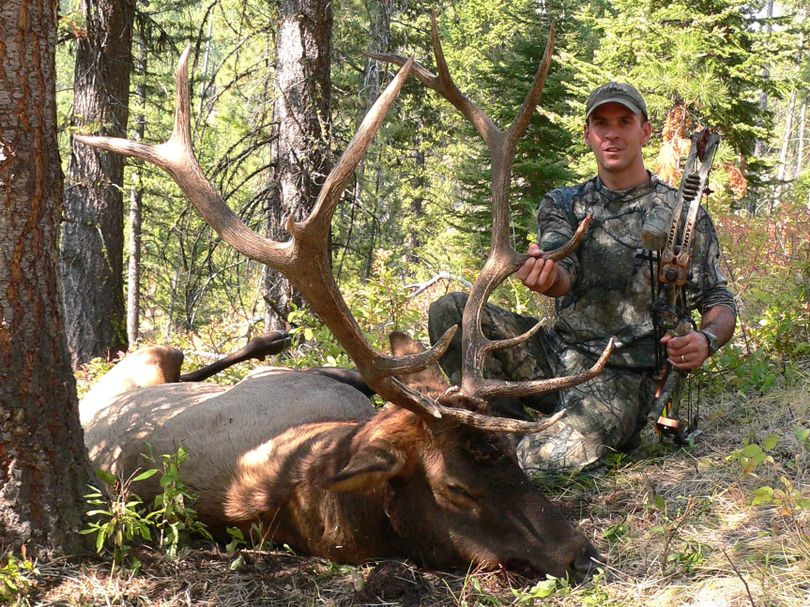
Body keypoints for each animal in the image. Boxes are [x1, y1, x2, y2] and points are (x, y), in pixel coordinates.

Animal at [80, 15, 612, 584]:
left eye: (512, 452)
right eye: (455, 487)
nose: (579, 553)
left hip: (165, 358)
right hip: (151, 357)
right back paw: (271, 336)